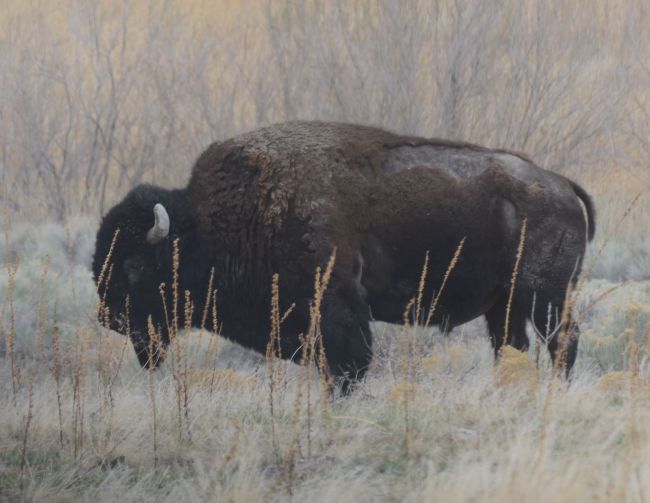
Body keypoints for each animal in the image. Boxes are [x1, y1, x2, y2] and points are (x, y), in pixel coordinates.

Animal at [92, 121, 595, 392]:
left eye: (134, 265)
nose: (107, 317)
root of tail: (560, 184)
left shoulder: (337, 307)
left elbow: (350, 366)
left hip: (545, 297)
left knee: (562, 342)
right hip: (504, 305)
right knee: (512, 348)